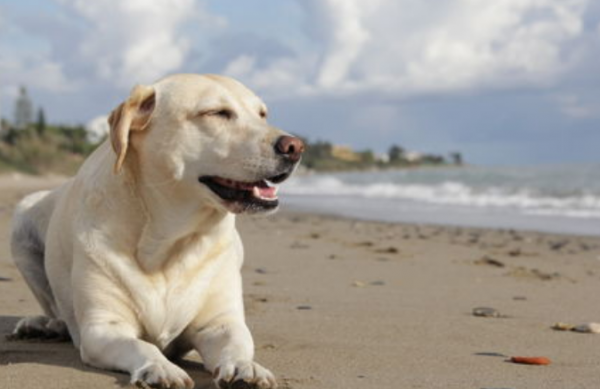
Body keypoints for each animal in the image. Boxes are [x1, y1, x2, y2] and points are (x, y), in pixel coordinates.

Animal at [11, 73, 304, 388]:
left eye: (262, 114)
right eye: (217, 113)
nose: (295, 147)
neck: (170, 241)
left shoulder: (220, 323)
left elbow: (238, 342)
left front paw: (245, 367)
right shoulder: (103, 328)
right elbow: (142, 345)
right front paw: (160, 367)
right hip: (21, 218)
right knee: (55, 309)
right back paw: (45, 325)